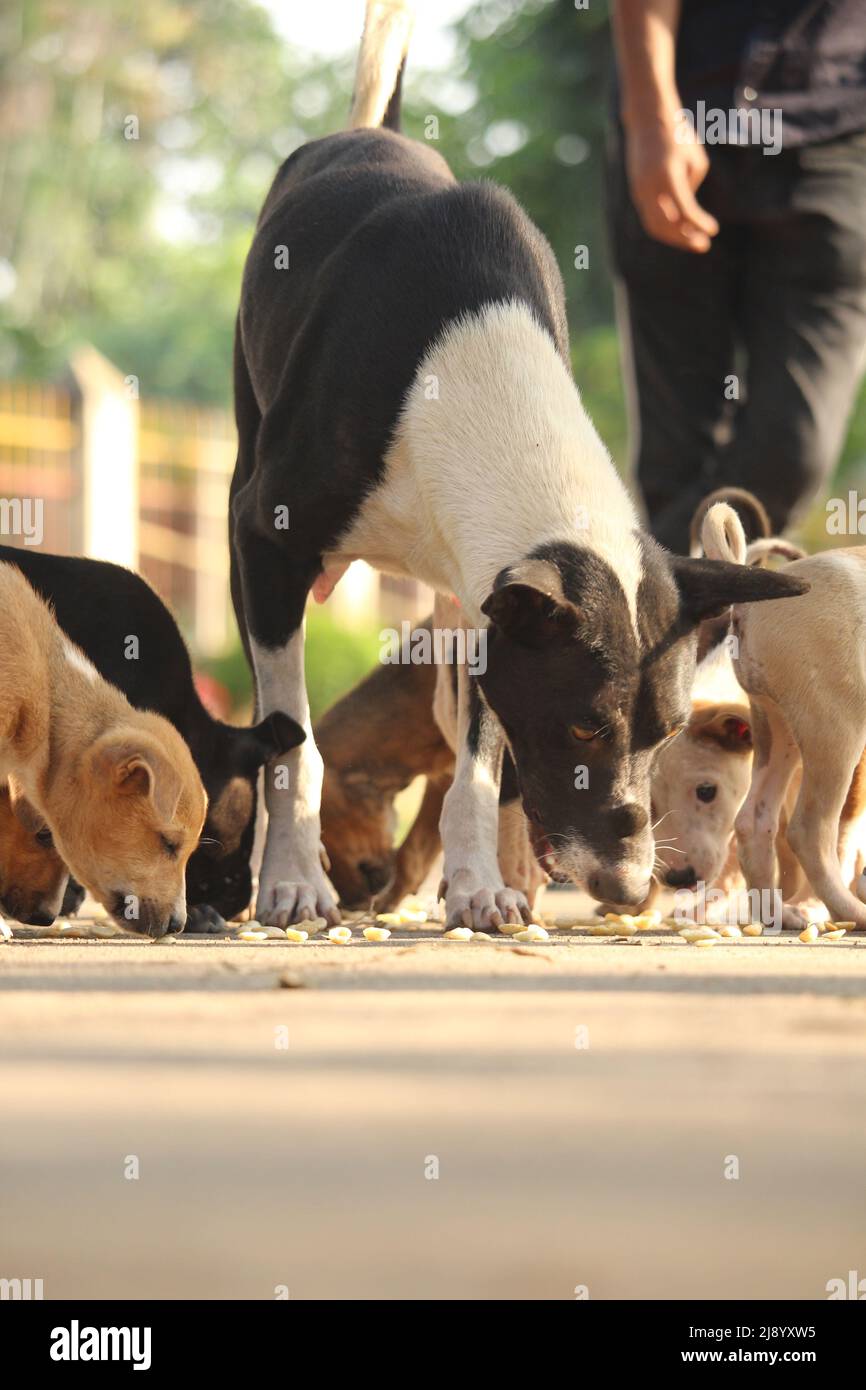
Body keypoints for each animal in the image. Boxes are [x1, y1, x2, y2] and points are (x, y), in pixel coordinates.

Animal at [230, 2, 806, 934]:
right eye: (583, 730)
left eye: (664, 734)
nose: (629, 890)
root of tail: (368, 133)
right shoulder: (264, 541)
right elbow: (292, 736)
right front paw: (290, 880)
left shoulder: (486, 605)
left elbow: (476, 763)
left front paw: (477, 886)